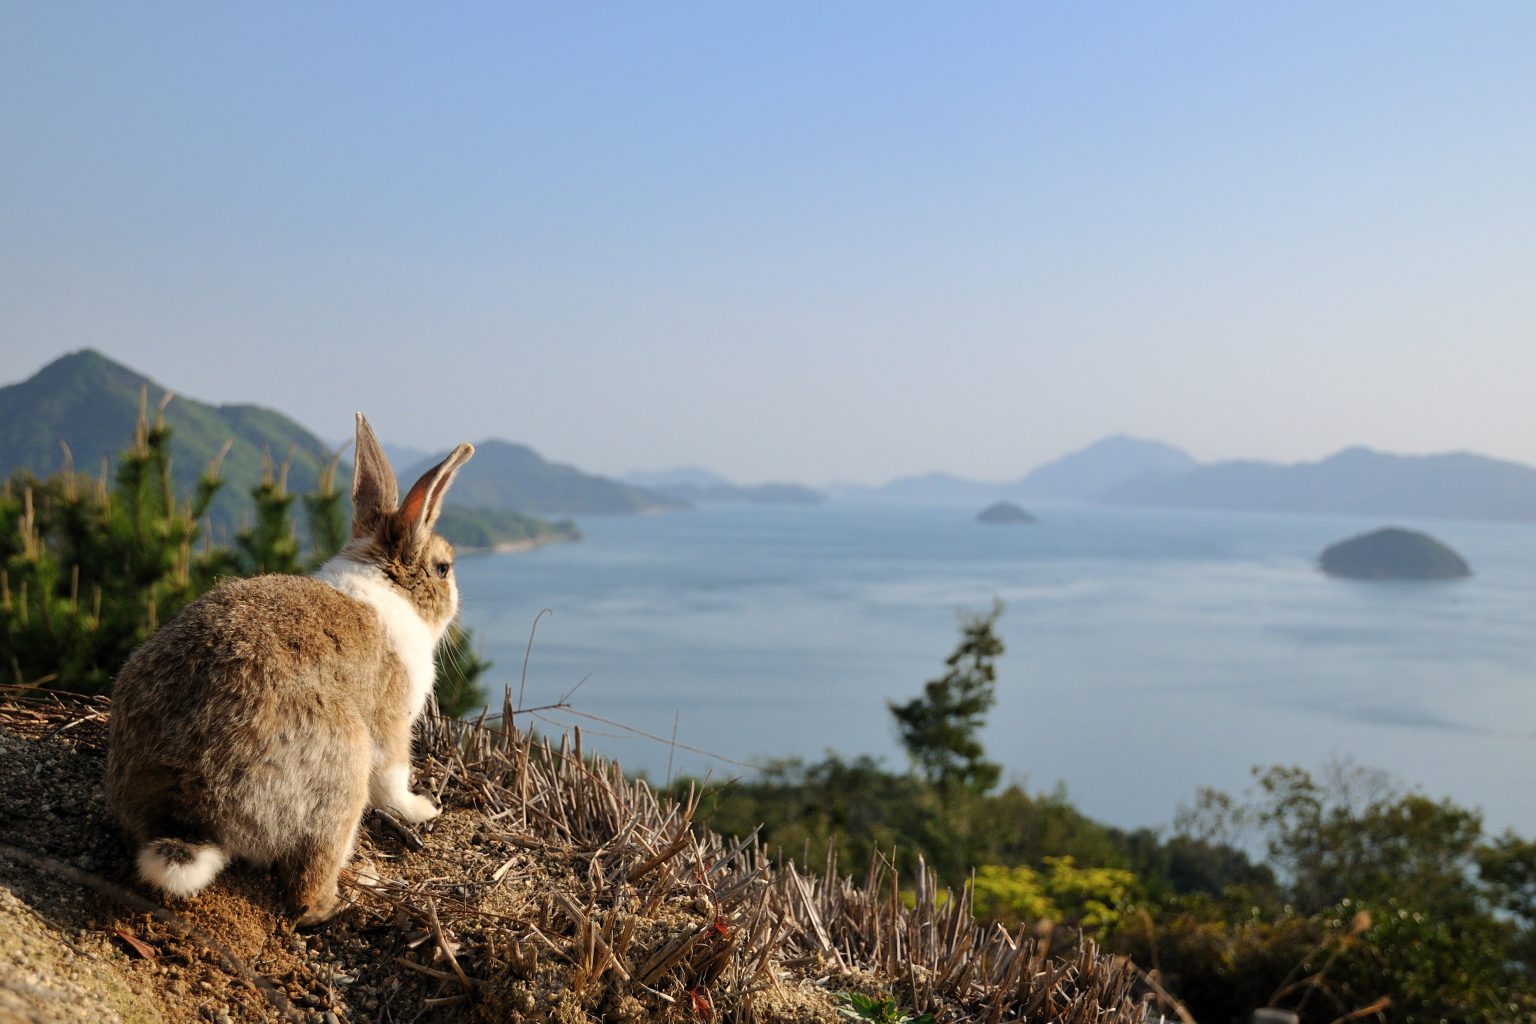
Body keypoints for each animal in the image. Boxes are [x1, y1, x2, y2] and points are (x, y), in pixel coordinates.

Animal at [105, 413, 474, 926]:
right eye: (443, 568)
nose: (457, 601)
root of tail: (191, 801)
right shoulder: (392, 723)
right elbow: (394, 778)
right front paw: (421, 808)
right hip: (343, 769)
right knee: (307, 888)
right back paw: (349, 895)